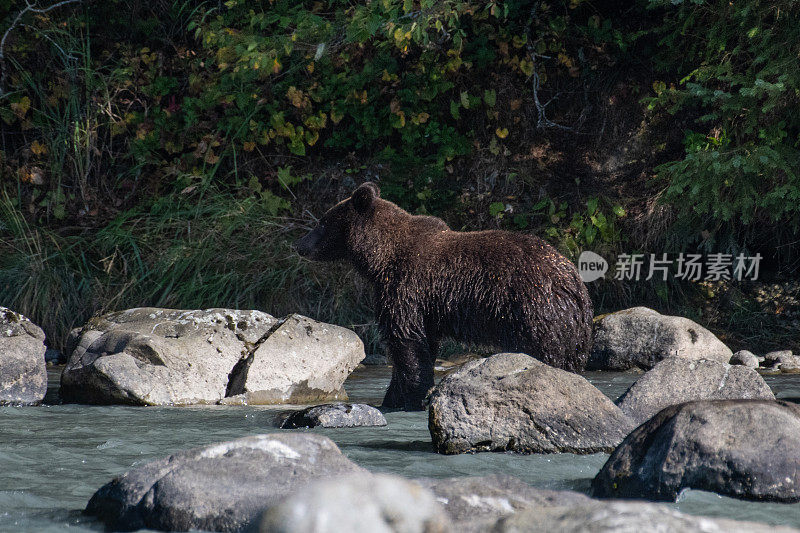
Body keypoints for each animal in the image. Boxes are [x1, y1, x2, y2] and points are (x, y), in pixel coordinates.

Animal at [296, 181, 592, 410]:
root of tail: (575, 284)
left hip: (535, 311)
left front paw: (404, 397)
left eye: (322, 222)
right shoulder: (427, 307)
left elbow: (405, 340)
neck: (380, 259)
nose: (300, 246)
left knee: (546, 353)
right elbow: (423, 342)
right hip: (571, 332)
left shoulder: (406, 288)